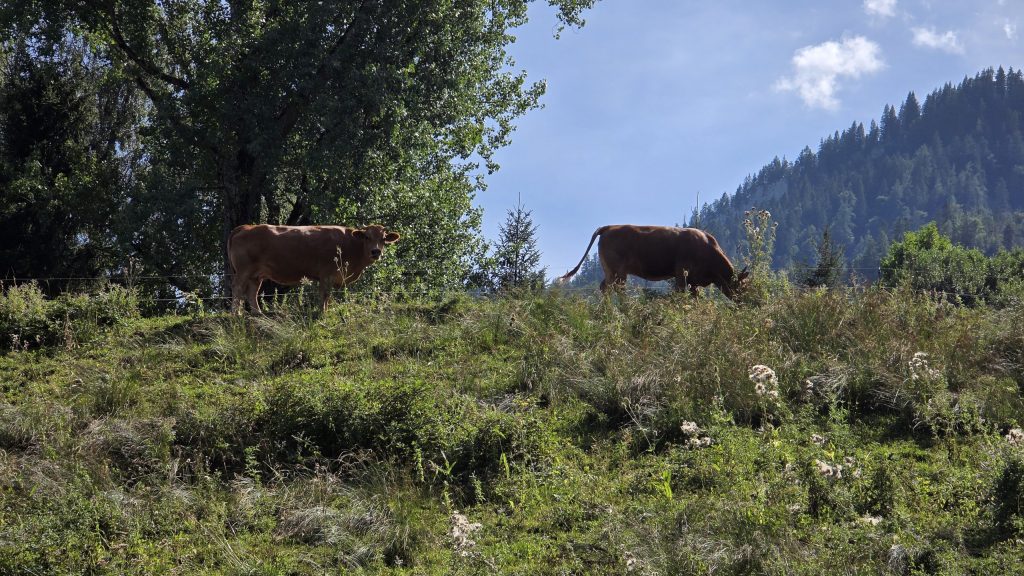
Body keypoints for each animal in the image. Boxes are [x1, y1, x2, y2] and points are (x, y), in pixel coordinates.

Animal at [227, 224, 400, 313]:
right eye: (367, 237)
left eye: (383, 238)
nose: (376, 251)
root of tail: (246, 227)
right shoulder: (327, 275)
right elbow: (324, 295)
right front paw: (323, 312)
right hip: (243, 271)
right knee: (237, 288)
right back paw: (236, 313)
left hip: (256, 275)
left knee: (252, 293)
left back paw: (258, 314)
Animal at [558, 225, 749, 299]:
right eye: (742, 286)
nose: (748, 302)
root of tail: (609, 227)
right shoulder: (681, 275)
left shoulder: (694, 282)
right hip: (618, 272)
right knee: (616, 289)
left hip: (611, 271)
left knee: (605, 287)